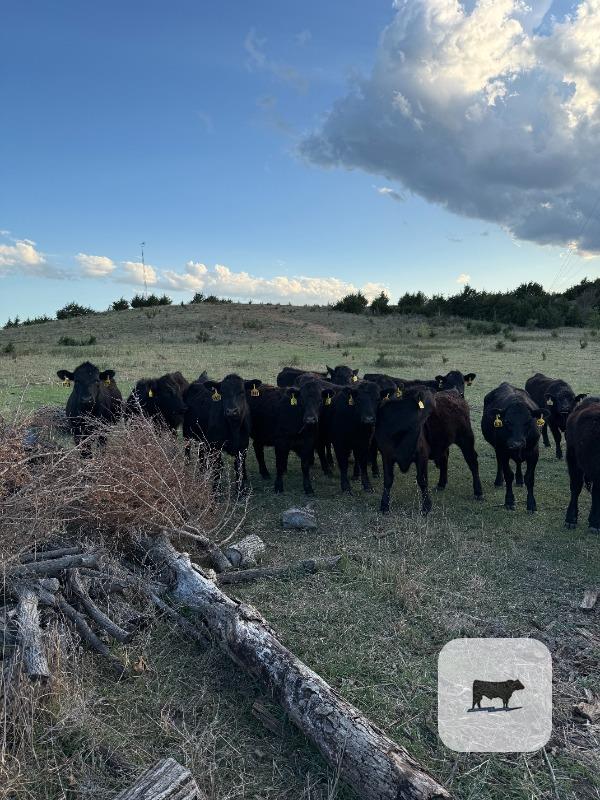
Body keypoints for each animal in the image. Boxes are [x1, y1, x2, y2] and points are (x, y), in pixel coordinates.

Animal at [375, 386, 482, 514]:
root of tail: (454, 391)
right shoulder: (386, 455)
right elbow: (388, 480)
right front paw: (384, 505)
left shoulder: (422, 454)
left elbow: (422, 480)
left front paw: (426, 506)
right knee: (445, 457)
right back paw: (441, 484)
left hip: (466, 438)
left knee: (472, 461)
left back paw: (478, 492)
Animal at [481, 383, 547, 513]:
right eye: (507, 421)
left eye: (528, 421)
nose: (516, 444)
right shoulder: (503, 451)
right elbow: (508, 475)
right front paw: (509, 501)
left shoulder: (534, 453)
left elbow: (529, 478)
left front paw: (531, 504)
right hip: (498, 449)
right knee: (500, 463)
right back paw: (499, 481)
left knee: (518, 463)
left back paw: (520, 480)